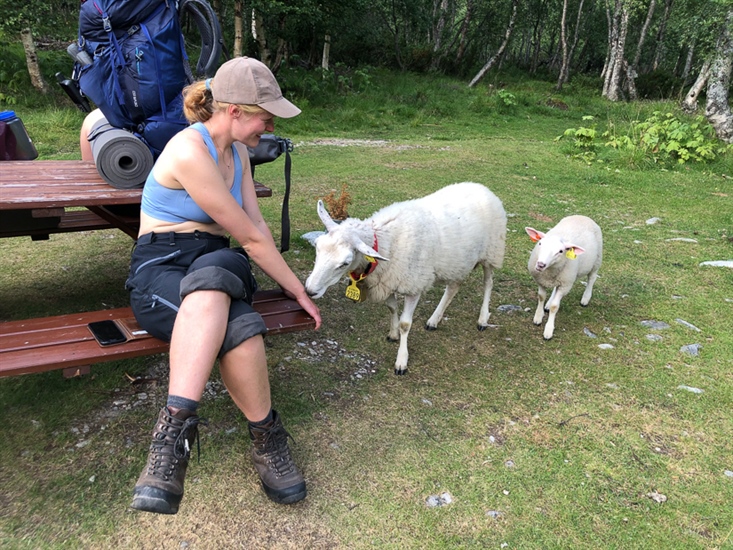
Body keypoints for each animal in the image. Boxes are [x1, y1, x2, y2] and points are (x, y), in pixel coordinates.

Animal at [306, 183, 506, 378]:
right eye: (317, 248)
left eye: (345, 263)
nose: (309, 290)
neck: (385, 241)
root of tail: (481, 187)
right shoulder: (386, 280)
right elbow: (391, 308)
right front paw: (393, 334)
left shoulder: (414, 285)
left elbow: (405, 324)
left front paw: (401, 361)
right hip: (457, 262)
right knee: (453, 287)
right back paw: (434, 320)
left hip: (492, 252)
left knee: (488, 283)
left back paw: (482, 319)